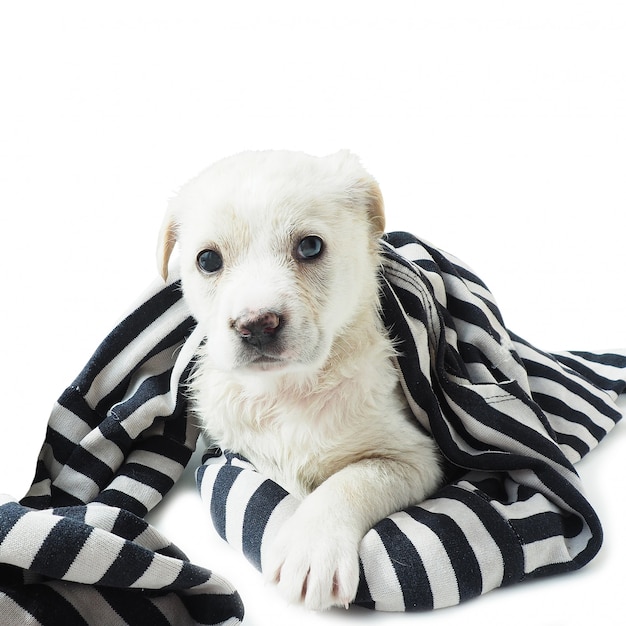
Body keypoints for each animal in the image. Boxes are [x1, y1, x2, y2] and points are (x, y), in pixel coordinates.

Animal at [156, 151, 442, 608]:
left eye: (310, 246)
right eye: (208, 260)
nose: (257, 325)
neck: (288, 389)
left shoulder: (413, 456)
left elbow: (351, 481)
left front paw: (311, 548)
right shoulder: (238, 446)